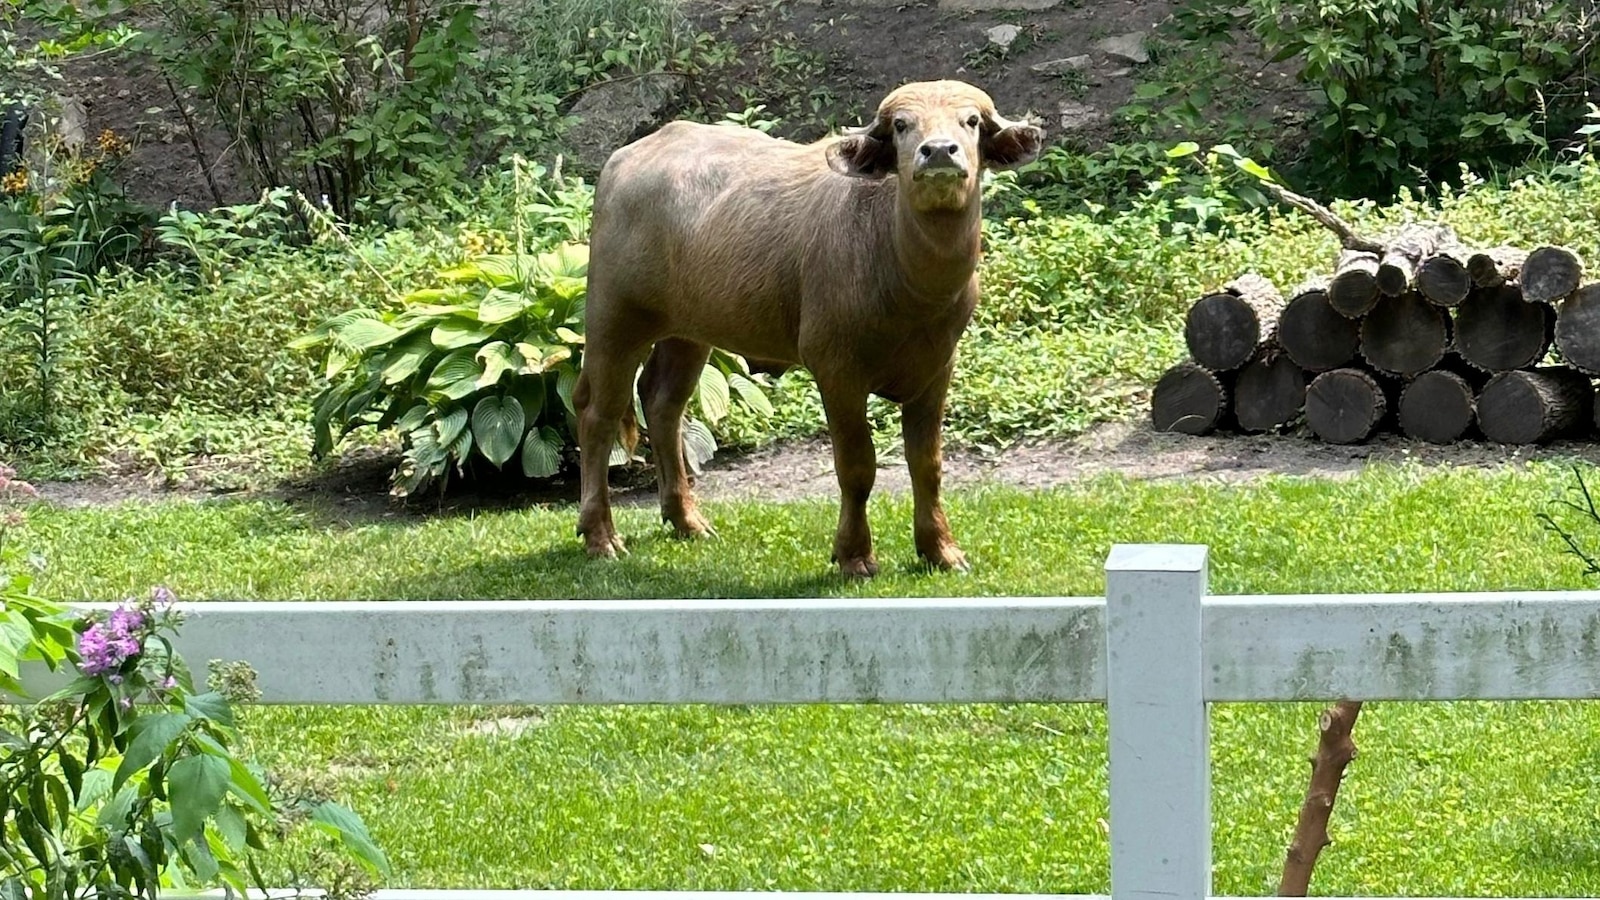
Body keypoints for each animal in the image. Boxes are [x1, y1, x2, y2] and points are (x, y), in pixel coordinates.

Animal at [576, 82, 1049, 573]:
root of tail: (624, 159)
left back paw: (687, 519)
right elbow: (857, 466)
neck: (907, 280)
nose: (938, 151)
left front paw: (941, 548)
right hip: (614, 317)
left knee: (663, 402)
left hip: (687, 330)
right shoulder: (836, 368)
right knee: (598, 414)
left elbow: (927, 465)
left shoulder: (937, 368)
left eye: (970, 121)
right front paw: (854, 554)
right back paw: (600, 535)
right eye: (902, 125)